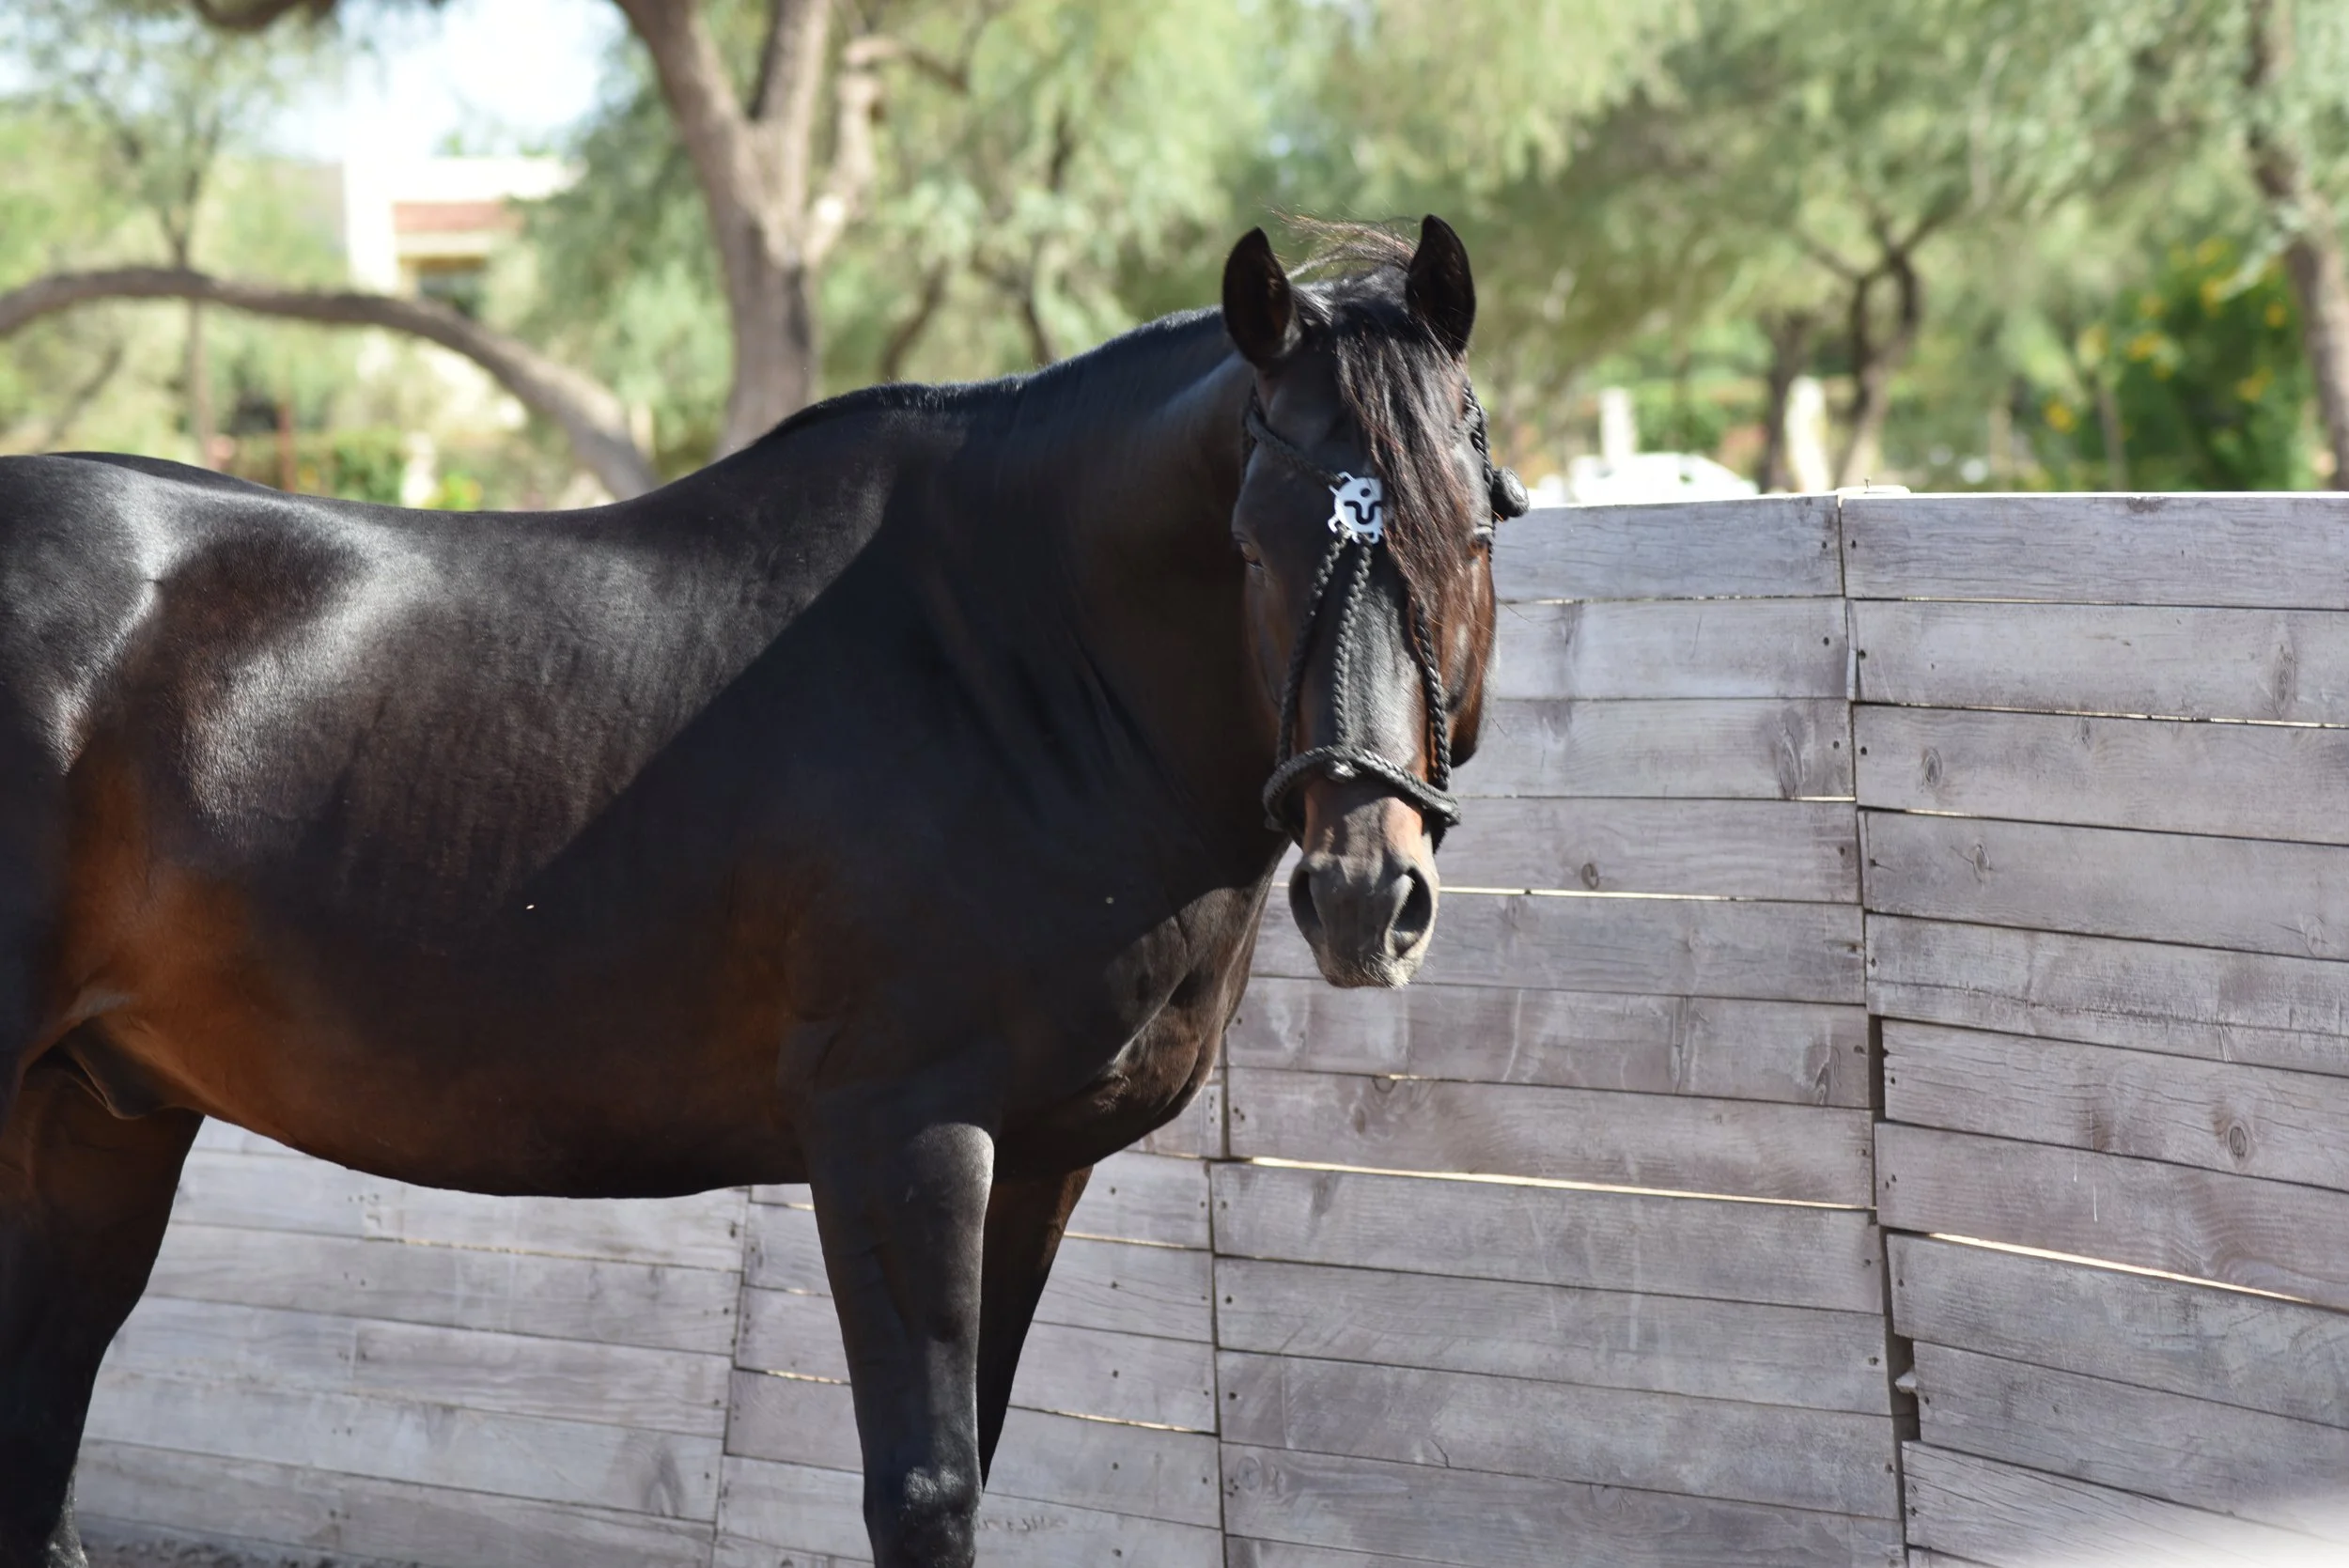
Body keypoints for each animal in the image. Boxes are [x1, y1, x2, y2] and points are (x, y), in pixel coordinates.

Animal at [0, 215, 1522, 1568]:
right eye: (1253, 545)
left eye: (1467, 537)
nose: (1362, 890)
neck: (1011, 670)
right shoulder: (898, 1134)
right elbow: (925, 1492)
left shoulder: (1040, 1159)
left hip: (99, 1111)